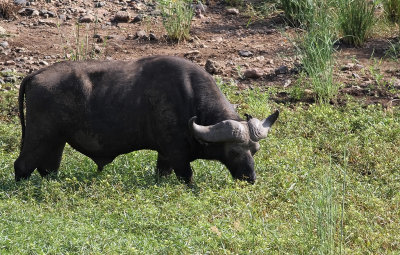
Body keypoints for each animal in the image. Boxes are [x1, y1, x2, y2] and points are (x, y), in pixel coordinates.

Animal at [14, 55, 278, 183]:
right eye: (233, 151)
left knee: (48, 168)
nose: (250, 178)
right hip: (39, 137)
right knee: (22, 166)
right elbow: (188, 178)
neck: (189, 98)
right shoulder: (177, 156)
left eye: (254, 150)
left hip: (56, 142)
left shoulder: (165, 157)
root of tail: (35, 75)